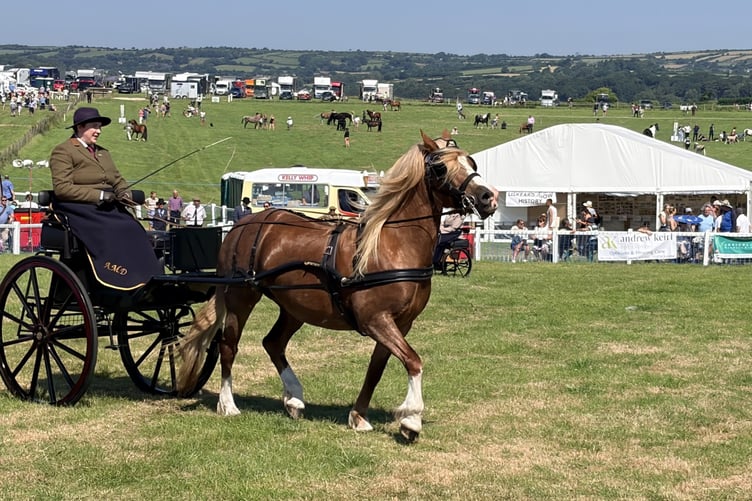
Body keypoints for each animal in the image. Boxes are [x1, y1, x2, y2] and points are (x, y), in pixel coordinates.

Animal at [176, 130, 498, 441]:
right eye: (441, 167)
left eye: (472, 162)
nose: (488, 197)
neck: (391, 245)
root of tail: (243, 225)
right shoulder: (376, 320)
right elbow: (413, 361)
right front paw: (411, 419)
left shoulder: (399, 324)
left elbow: (376, 368)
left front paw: (359, 417)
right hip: (241, 295)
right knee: (228, 345)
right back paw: (228, 404)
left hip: (295, 307)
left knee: (273, 343)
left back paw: (294, 399)